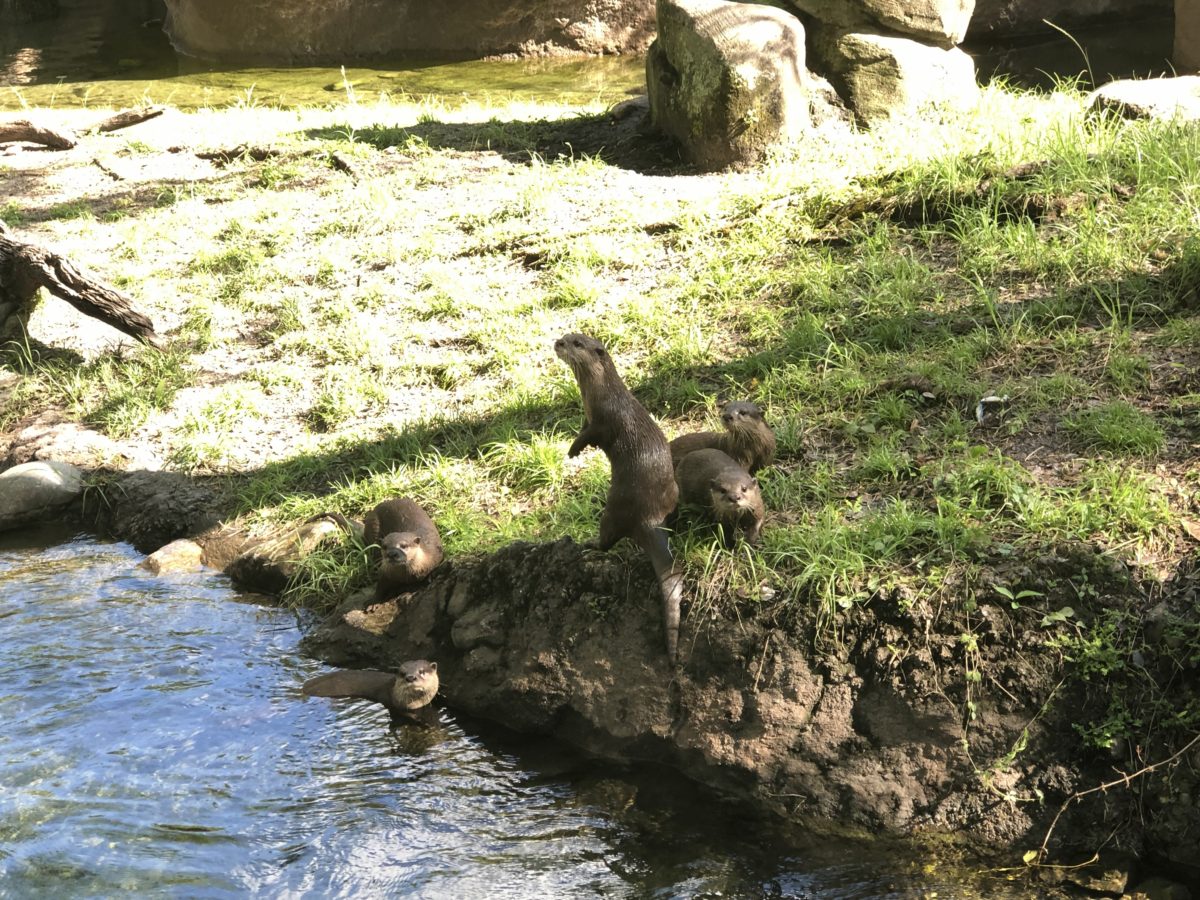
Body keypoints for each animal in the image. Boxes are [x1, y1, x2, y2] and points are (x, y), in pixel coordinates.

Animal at [554, 332, 684, 663]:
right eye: (568, 335)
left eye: (576, 343)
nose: (558, 342)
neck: (601, 393)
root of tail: (651, 516)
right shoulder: (588, 419)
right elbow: (582, 430)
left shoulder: (603, 422)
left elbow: (589, 436)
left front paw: (573, 450)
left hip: (613, 507)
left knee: (607, 539)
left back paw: (586, 544)